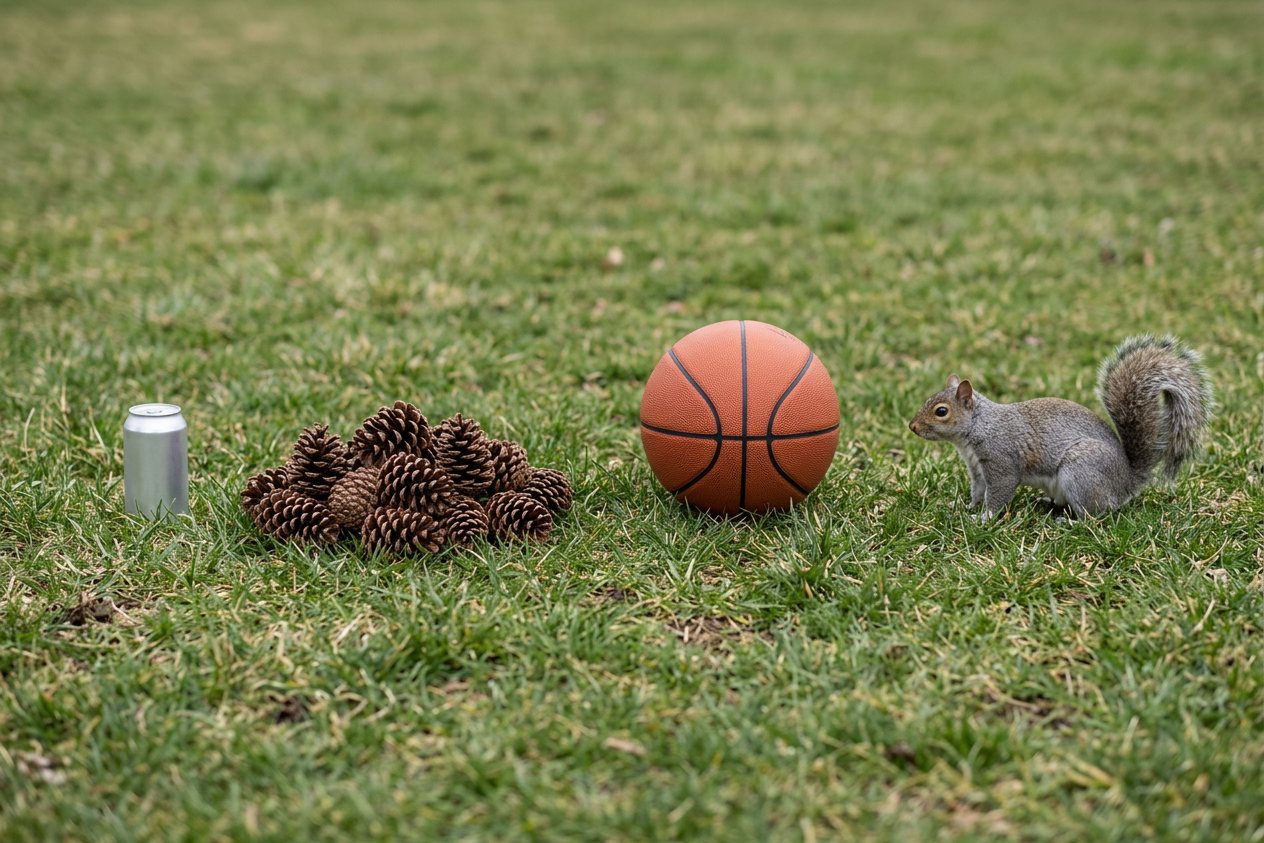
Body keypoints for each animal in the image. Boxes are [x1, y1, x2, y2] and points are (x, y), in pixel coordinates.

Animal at [908, 335, 1214, 519]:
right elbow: (978, 491)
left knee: (1095, 515)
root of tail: (1126, 481)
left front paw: (983, 519)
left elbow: (998, 493)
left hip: (1081, 472)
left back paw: (1071, 523)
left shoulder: (1001, 460)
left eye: (941, 411)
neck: (979, 427)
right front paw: (965, 507)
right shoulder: (977, 468)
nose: (912, 426)